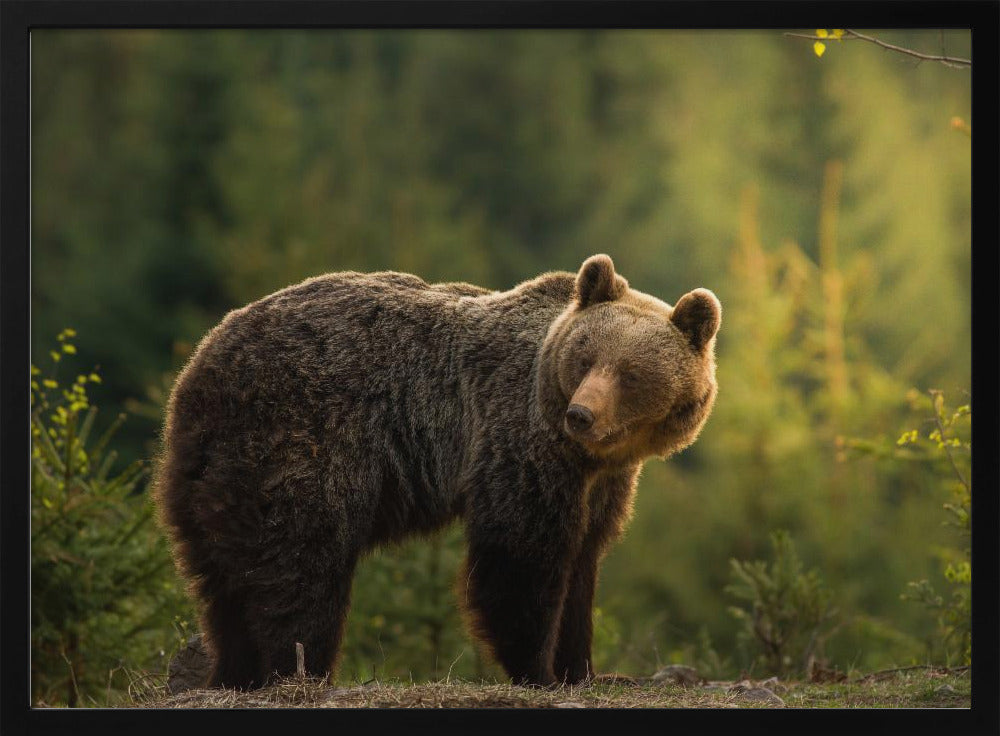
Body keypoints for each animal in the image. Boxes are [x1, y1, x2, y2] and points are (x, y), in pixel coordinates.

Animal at [153, 254, 721, 689]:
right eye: (585, 358)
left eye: (630, 373)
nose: (581, 414)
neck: (590, 454)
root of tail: (199, 367)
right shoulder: (518, 439)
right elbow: (522, 555)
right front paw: (538, 670)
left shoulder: (601, 482)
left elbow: (583, 561)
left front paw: (583, 669)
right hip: (300, 442)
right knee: (301, 566)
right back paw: (300, 671)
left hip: (213, 471)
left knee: (223, 579)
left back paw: (233, 671)